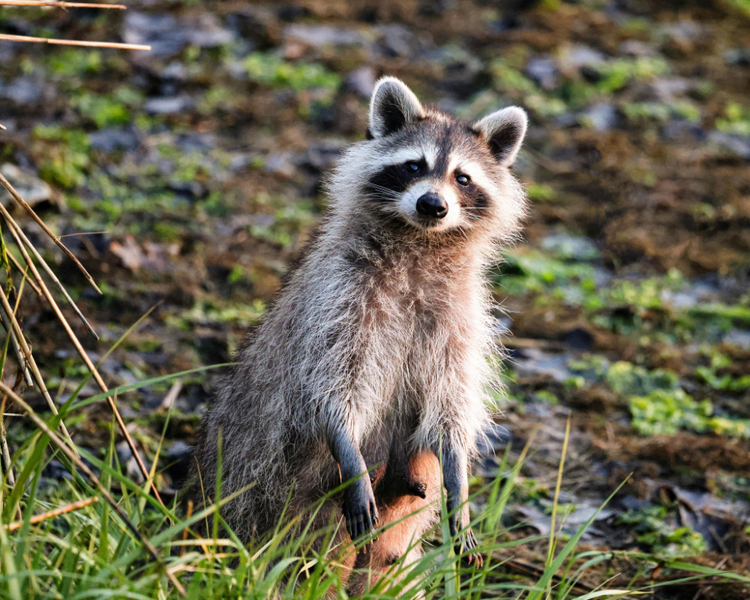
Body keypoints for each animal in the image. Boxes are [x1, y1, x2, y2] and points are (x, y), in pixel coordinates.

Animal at [189, 77, 528, 593]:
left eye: (463, 178)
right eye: (414, 166)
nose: (433, 205)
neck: (419, 242)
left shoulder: (461, 316)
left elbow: (451, 404)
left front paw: (459, 474)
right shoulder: (339, 297)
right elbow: (331, 387)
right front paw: (347, 444)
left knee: (386, 563)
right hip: (274, 497)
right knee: (307, 558)